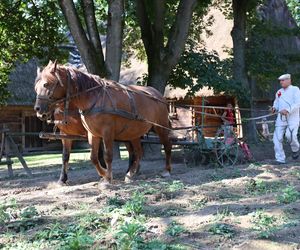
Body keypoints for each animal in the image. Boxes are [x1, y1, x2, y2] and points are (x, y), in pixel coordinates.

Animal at [34, 61, 171, 185]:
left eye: (46, 84)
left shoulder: (107, 132)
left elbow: (107, 155)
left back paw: (166, 171)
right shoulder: (88, 134)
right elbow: (90, 157)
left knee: (166, 146)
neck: (94, 98)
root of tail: (158, 95)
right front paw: (103, 174)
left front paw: (107, 178)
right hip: (132, 133)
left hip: (161, 128)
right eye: (36, 87)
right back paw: (131, 173)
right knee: (137, 152)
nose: (38, 110)